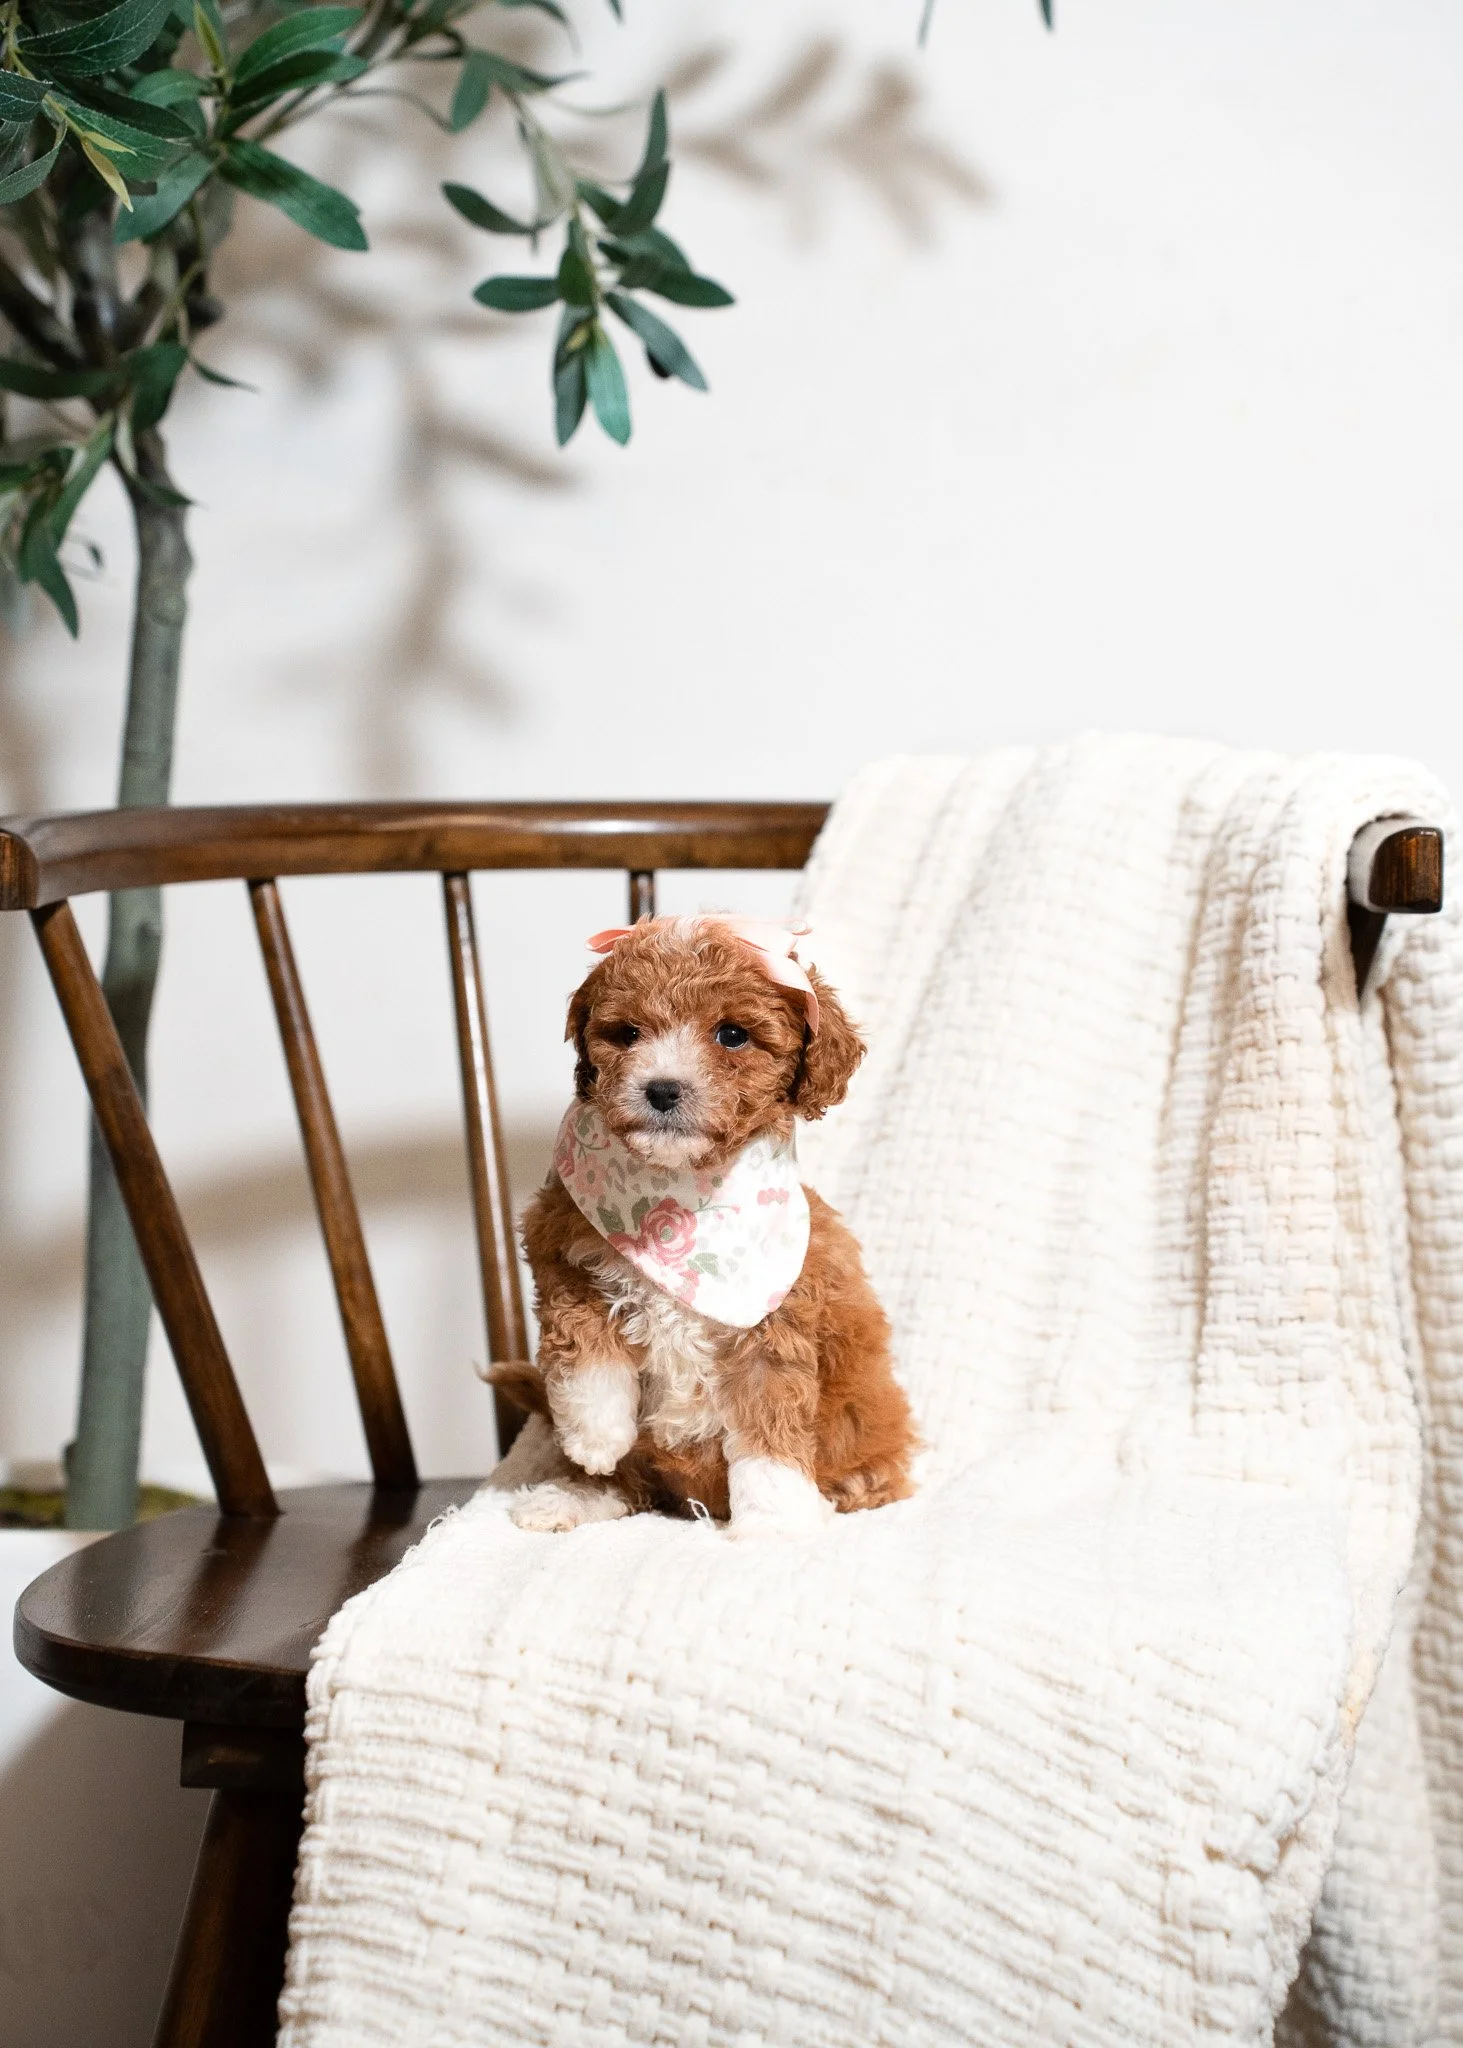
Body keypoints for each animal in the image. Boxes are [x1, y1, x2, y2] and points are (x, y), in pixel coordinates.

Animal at [494, 915, 917, 1539]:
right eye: (627, 1034)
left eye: (733, 1035)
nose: (662, 1088)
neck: (682, 1200)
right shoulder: (560, 1246)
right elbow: (585, 1347)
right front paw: (595, 1436)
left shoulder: (776, 1318)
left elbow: (769, 1428)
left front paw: (773, 1523)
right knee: (630, 1481)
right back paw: (572, 1495)